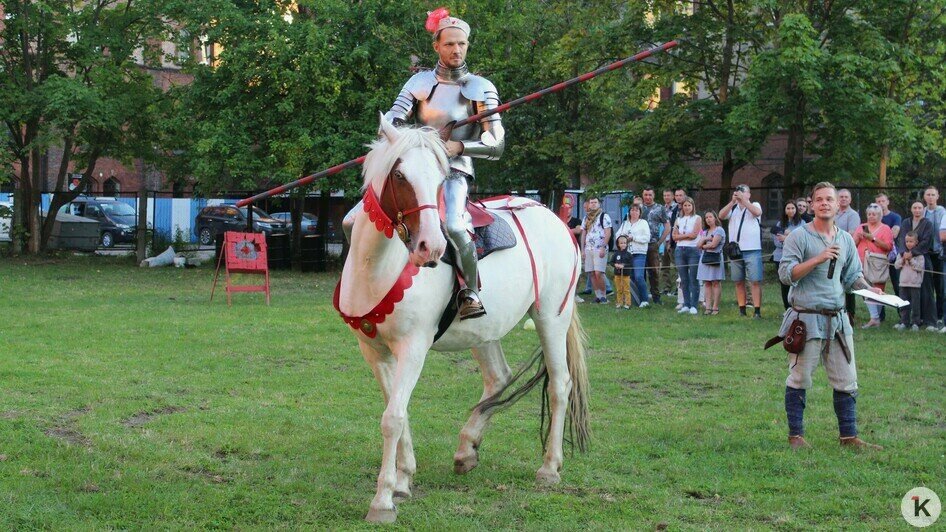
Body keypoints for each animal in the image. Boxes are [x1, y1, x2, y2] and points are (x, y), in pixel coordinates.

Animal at [336, 117, 588, 524]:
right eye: (400, 175)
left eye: (441, 178)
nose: (431, 247)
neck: (378, 267)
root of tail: (556, 218)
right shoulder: (374, 351)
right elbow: (398, 411)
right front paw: (403, 480)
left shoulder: (413, 348)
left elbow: (393, 418)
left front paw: (383, 500)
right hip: (484, 330)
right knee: (498, 378)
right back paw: (467, 448)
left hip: (552, 316)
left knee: (559, 385)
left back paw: (549, 467)